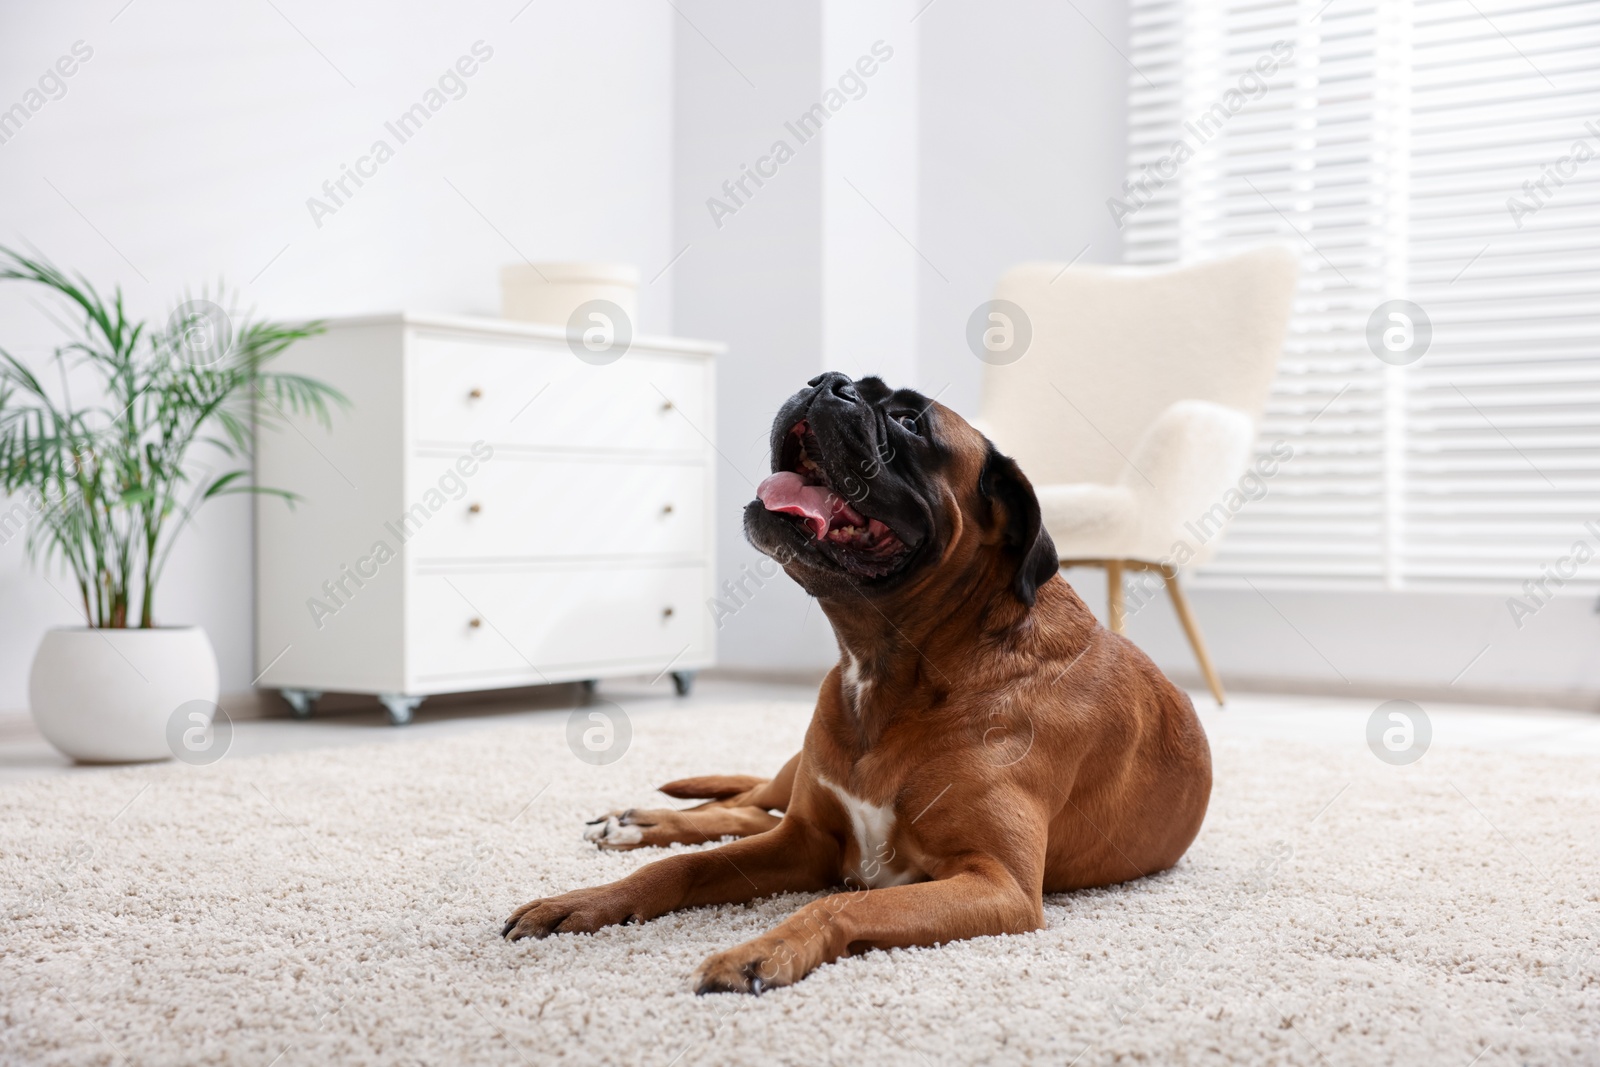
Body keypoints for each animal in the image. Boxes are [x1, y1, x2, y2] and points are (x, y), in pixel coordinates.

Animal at [502, 374, 1209, 991]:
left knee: (747, 809)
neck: (889, 663)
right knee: (744, 803)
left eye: (909, 422)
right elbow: (686, 866)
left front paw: (761, 951)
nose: (827, 382)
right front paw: (592, 900)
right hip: (794, 778)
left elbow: (840, 905)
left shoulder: (997, 884)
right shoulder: (804, 840)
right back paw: (636, 822)